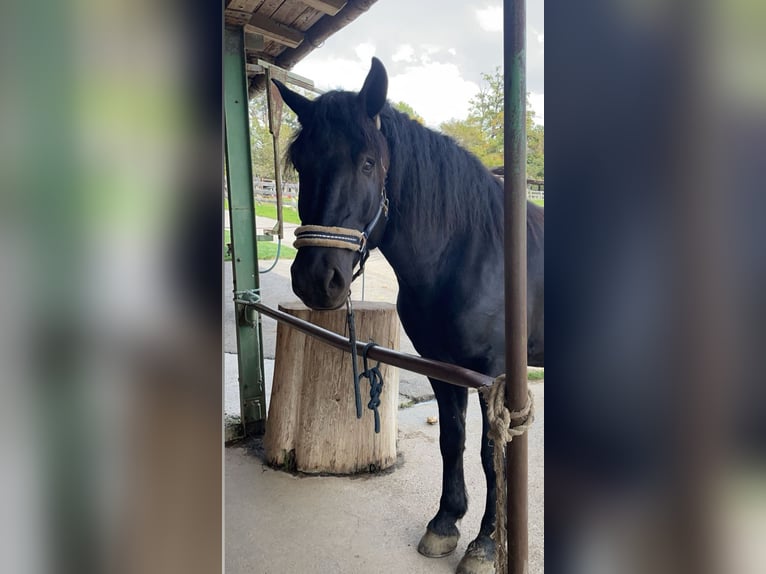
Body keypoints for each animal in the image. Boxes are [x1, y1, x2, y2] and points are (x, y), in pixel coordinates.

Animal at [273, 57, 544, 574]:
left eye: (368, 162)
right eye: (301, 163)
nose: (317, 279)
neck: (472, 252)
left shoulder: (494, 375)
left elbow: (490, 454)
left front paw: (484, 545)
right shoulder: (442, 368)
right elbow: (453, 441)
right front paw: (445, 523)